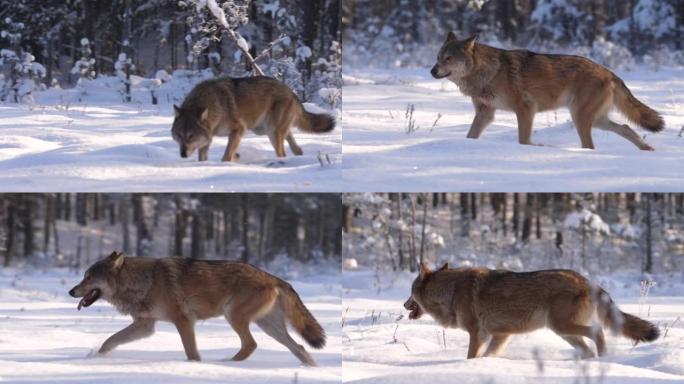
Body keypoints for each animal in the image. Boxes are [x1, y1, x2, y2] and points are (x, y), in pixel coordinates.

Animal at [69, 252, 326, 366]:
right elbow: (109, 341)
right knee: (300, 348)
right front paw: (96, 358)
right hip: (269, 327)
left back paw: (225, 364)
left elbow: (192, 353)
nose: (71, 291)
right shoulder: (145, 325)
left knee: (251, 345)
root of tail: (273, 277)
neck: (144, 281)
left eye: (88, 277)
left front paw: (195, 366)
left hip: (233, 316)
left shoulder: (183, 321)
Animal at [172, 76, 336, 161]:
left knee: (282, 154)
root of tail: (292, 93)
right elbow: (204, 157)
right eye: (179, 136)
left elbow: (226, 156)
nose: (182, 154)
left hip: (271, 133)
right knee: (297, 149)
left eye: (191, 136)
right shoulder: (208, 139)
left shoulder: (239, 129)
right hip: (268, 131)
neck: (215, 104)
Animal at [404, 264, 660, 360]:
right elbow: (488, 356)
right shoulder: (500, 336)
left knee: (598, 333)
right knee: (588, 347)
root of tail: (588, 281)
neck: (451, 291)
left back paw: (604, 360)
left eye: (410, 293)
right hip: (564, 333)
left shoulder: (478, 334)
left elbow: (471, 356)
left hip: (563, 327)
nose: (404, 305)